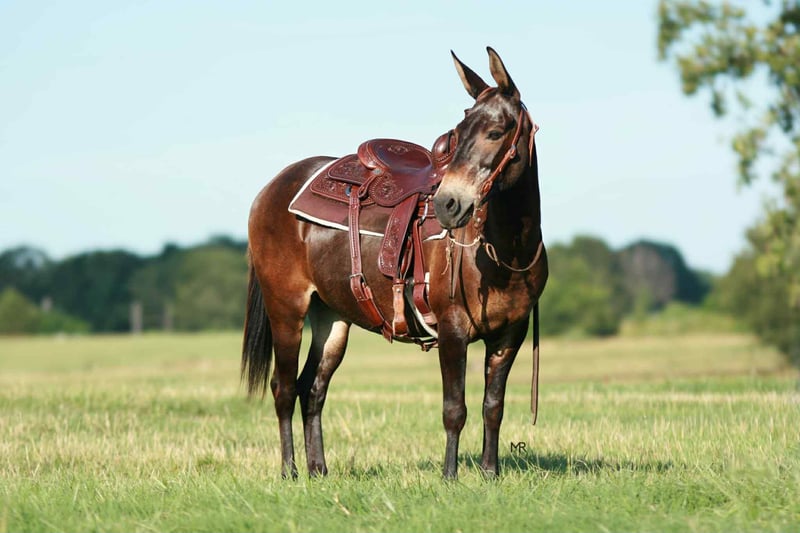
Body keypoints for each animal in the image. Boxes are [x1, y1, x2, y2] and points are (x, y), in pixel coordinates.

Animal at [242, 47, 548, 480]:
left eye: (495, 132)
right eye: (458, 133)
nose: (448, 203)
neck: (505, 250)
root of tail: (272, 188)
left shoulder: (510, 335)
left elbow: (493, 407)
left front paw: (490, 474)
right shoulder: (452, 329)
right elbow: (454, 410)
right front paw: (450, 476)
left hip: (332, 317)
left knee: (312, 388)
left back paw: (319, 470)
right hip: (286, 309)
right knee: (283, 388)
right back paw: (290, 471)